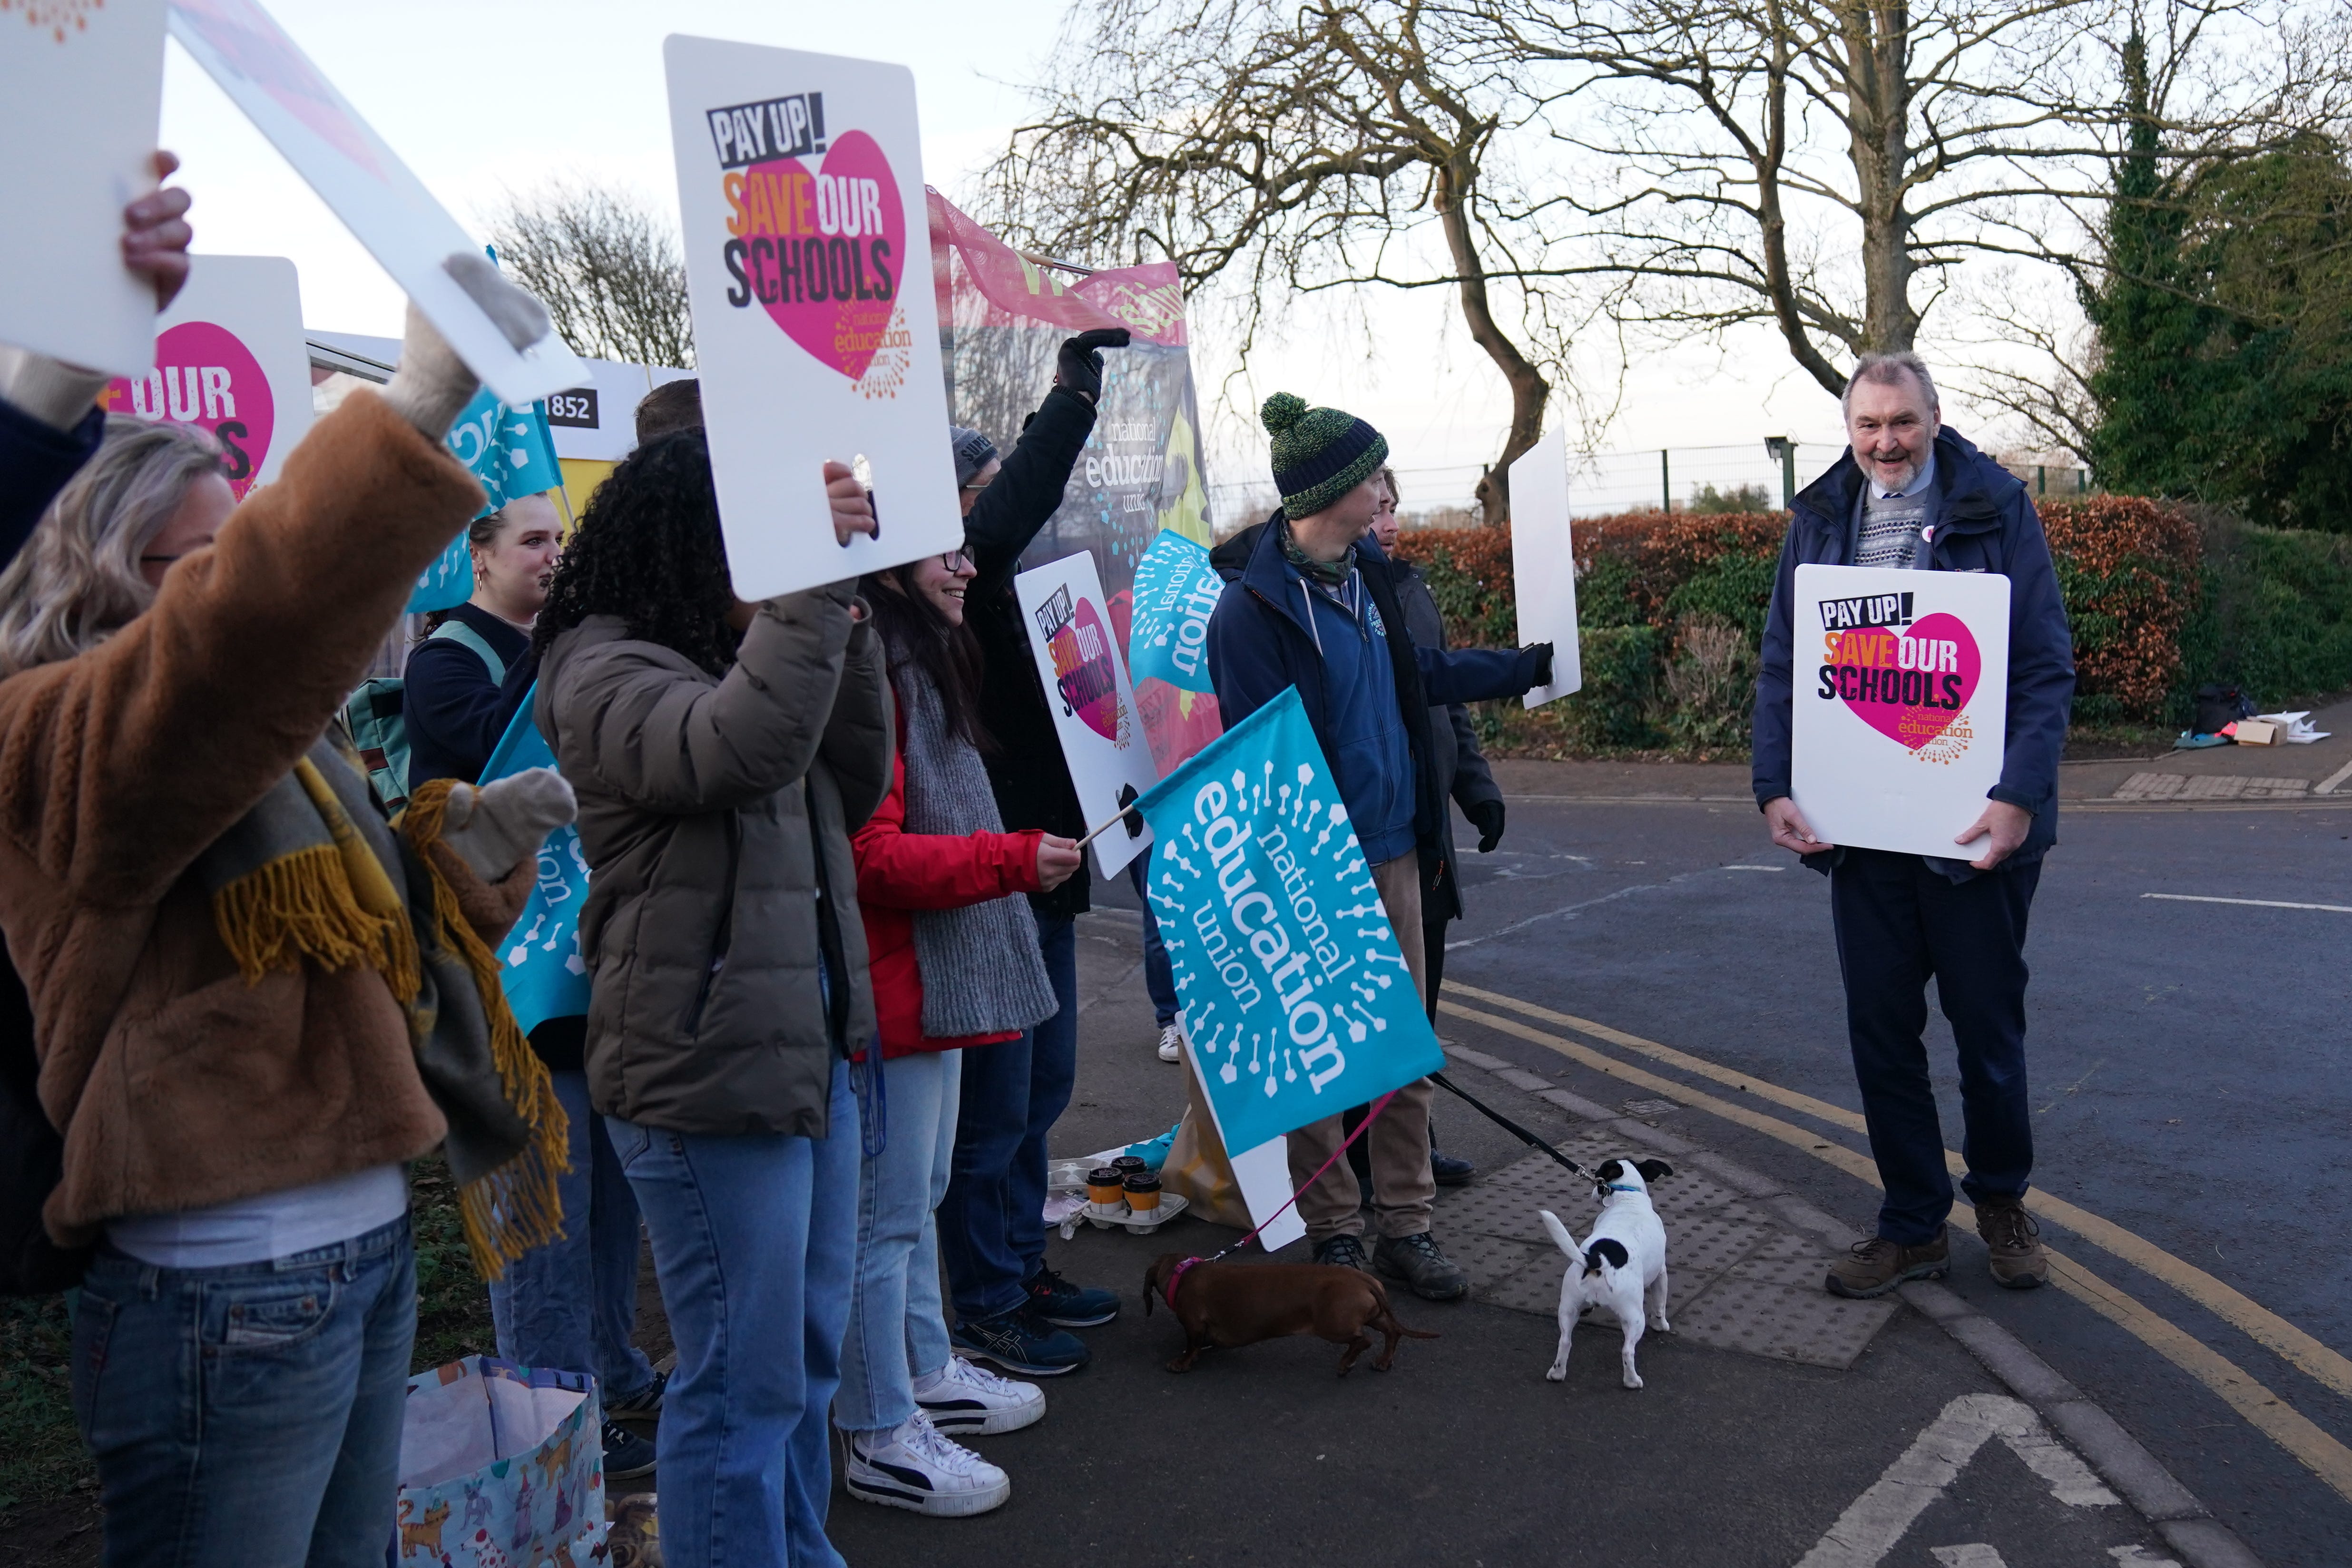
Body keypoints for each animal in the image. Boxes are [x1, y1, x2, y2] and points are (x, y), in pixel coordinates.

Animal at [1543, 1161, 1675, 1392]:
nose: (1594, 1191)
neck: (1627, 1197)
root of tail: (1597, 1260)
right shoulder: (1661, 1273)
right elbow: (1660, 1306)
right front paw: (1661, 1326)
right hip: (1634, 1316)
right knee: (1628, 1350)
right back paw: (1632, 1381)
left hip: (1568, 1307)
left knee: (1565, 1341)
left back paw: (1557, 1373)